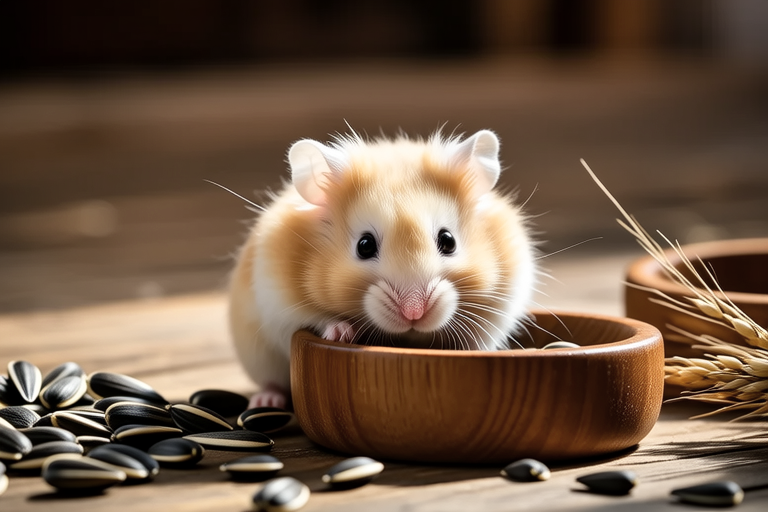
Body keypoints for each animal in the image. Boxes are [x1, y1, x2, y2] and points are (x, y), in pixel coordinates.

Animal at [228, 129, 537, 409]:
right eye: (364, 246)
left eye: (448, 241)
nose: (414, 313)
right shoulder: (278, 303)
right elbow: (316, 318)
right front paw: (342, 333)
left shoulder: (504, 302)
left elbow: (482, 334)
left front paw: (472, 349)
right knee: (271, 382)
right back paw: (266, 402)